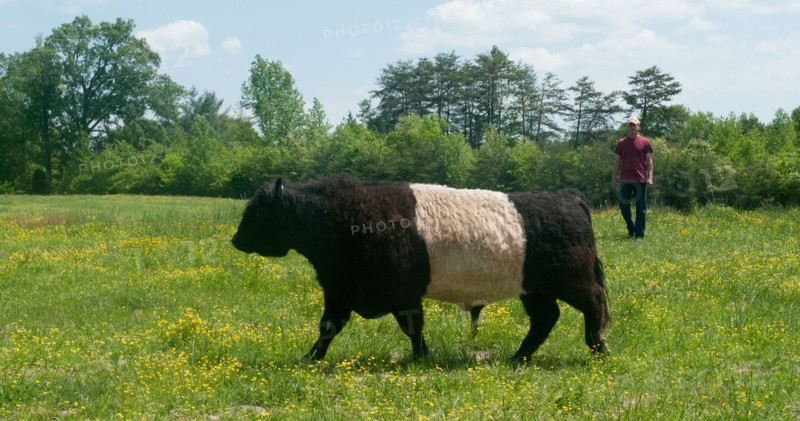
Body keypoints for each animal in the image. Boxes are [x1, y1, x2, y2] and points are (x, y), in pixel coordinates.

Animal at [231, 176, 609, 362]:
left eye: (259, 211)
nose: (235, 239)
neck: (342, 219)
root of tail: (569, 198)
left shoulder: (403, 295)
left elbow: (412, 326)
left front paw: (422, 358)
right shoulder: (339, 291)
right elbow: (328, 327)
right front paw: (310, 358)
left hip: (573, 281)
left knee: (594, 304)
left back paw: (597, 347)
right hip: (533, 289)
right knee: (545, 319)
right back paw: (519, 358)